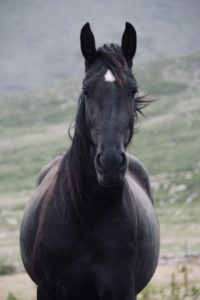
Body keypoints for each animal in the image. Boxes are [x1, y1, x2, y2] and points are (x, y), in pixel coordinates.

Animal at [20, 22, 160, 298]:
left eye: (133, 90)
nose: (110, 163)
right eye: (87, 90)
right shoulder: (47, 288)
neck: (86, 216)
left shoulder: (121, 289)